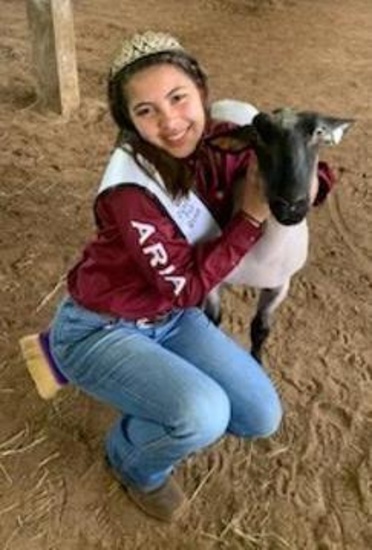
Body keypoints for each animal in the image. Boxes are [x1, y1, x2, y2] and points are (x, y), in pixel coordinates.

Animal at [206, 101, 354, 362]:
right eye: (257, 135)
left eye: (319, 132)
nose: (291, 205)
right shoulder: (213, 284)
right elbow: (214, 320)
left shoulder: (280, 286)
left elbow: (260, 329)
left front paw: (257, 361)